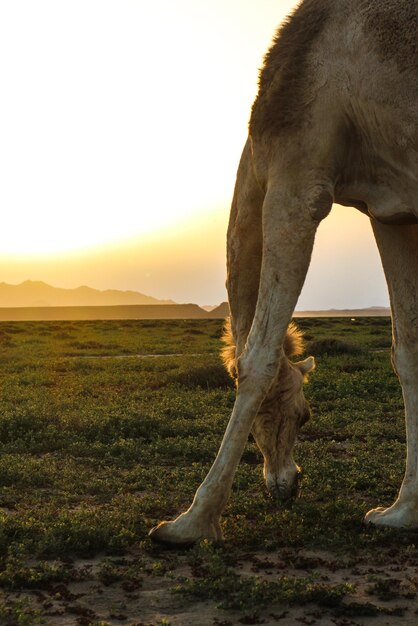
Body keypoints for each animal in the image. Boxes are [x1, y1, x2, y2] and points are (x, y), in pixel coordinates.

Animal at [150, 0, 418, 540]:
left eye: (304, 416)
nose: (285, 487)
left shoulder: (296, 181)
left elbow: (259, 356)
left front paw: (191, 521)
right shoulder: (389, 208)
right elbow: (407, 350)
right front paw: (401, 512)